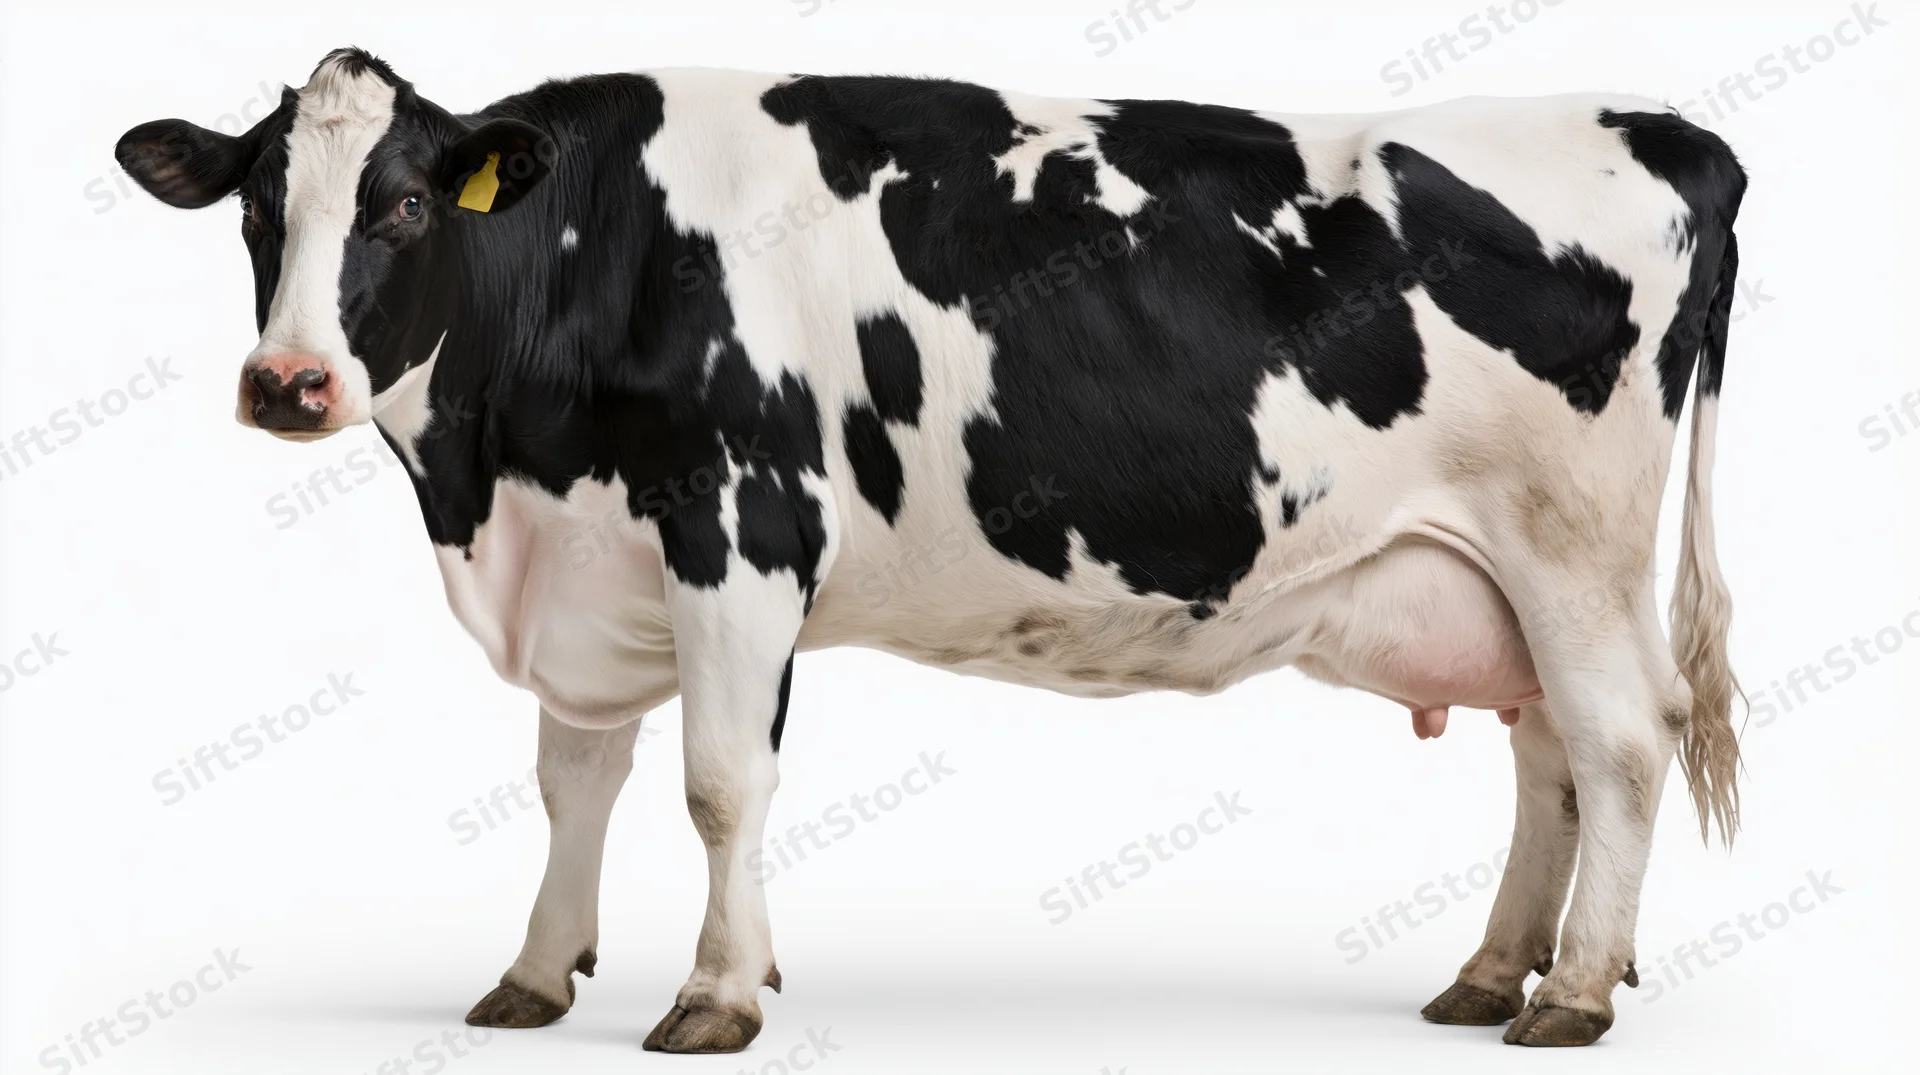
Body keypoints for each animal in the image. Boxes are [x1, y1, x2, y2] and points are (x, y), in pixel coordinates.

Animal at [115, 47, 1746, 1051]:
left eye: (399, 203)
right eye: (259, 209)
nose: (286, 382)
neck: (497, 477)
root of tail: (1670, 130)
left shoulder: (741, 527)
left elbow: (720, 783)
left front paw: (717, 991)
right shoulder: (589, 557)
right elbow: (575, 779)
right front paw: (531, 971)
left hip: (1573, 548)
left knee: (1623, 736)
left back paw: (1572, 991)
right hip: (1501, 575)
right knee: (1546, 752)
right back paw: (1489, 970)